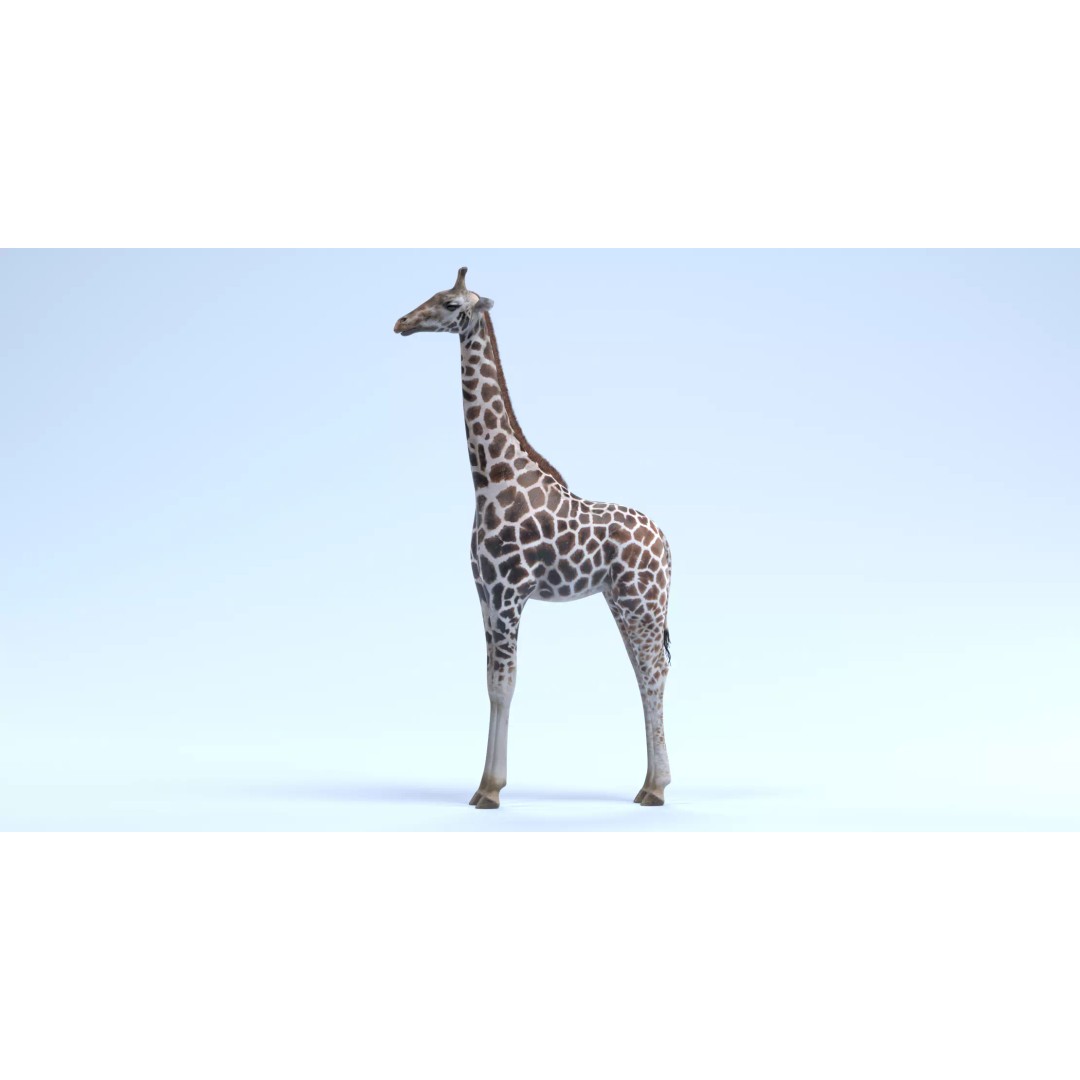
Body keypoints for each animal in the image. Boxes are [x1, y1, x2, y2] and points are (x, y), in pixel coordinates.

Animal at [394, 267, 672, 808]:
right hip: (623, 601)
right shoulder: (484, 594)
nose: (400, 323)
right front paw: (485, 784)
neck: (493, 478)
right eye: (434, 294)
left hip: (643, 602)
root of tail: (668, 545)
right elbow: (490, 683)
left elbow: (505, 685)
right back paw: (650, 784)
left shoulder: (508, 594)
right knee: (645, 672)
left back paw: (655, 789)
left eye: (450, 302)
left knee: (654, 673)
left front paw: (490, 790)